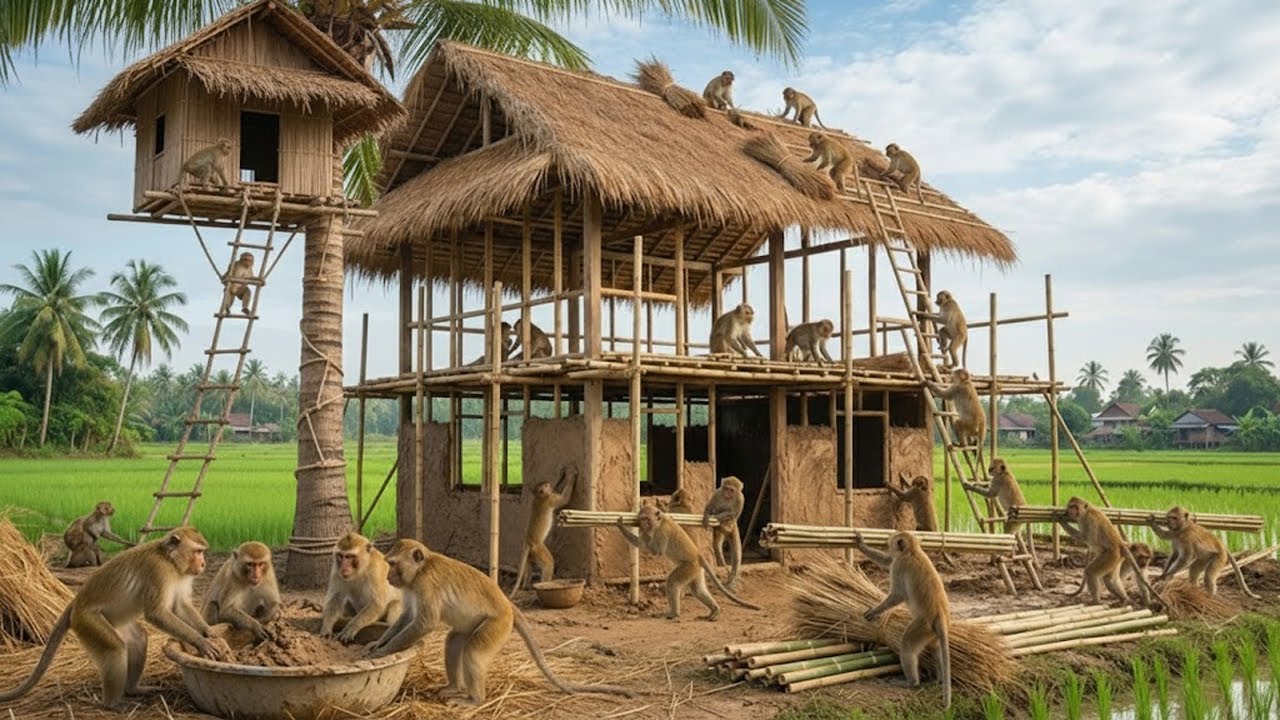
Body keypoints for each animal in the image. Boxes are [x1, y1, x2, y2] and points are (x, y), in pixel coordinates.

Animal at [0, 527, 226, 710]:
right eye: (198, 552)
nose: (203, 563)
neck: (169, 560)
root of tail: (77, 601)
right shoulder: (158, 571)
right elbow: (157, 613)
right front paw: (201, 642)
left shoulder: (181, 575)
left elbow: (181, 606)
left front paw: (210, 633)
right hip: (88, 621)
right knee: (115, 649)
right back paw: (111, 704)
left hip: (113, 621)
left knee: (138, 639)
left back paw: (133, 690)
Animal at [365, 539, 632, 703]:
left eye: (392, 564)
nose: (388, 576)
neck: (422, 568)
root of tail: (508, 605)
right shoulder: (412, 587)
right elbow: (407, 617)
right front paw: (377, 644)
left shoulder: (425, 584)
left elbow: (425, 623)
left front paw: (382, 652)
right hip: (477, 625)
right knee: (454, 641)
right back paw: (454, 687)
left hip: (498, 625)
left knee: (473, 651)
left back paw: (474, 700)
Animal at [615, 504, 761, 620]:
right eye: (642, 518)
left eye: (646, 519)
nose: (644, 524)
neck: (661, 521)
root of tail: (698, 555)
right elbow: (642, 544)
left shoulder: (663, 532)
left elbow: (656, 552)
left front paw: (631, 528)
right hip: (696, 570)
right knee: (698, 590)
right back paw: (714, 610)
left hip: (689, 567)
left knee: (672, 582)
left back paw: (674, 614)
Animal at [856, 531, 952, 709]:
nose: (888, 544)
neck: (913, 550)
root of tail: (940, 615)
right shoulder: (900, 559)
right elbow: (888, 560)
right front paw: (861, 544)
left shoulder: (900, 566)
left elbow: (897, 594)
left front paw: (875, 611)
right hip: (931, 633)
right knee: (936, 649)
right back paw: (940, 679)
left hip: (922, 627)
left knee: (907, 645)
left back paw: (912, 683)